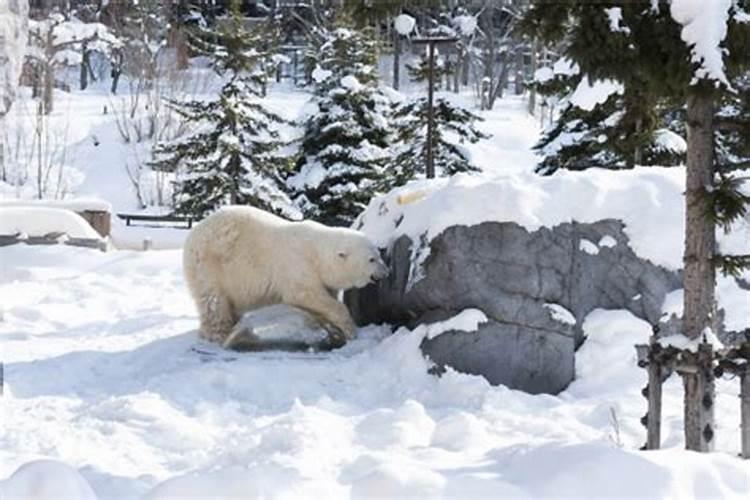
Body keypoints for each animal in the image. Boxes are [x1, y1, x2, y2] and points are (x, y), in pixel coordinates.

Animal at [185, 205, 390, 346]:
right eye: (372, 259)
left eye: (379, 255)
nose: (386, 272)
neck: (316, 253)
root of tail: (192, 235)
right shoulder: (298, 265)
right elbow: (305, 294)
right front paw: (350, 330)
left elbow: (326, 295)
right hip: (211, 266)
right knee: (214, 302)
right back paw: (218, 333)